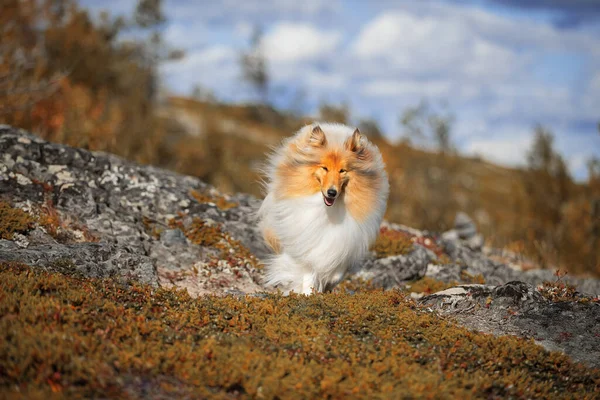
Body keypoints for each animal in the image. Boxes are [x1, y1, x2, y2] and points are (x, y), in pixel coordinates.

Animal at [258, 122, 390, 294]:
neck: (328, 211)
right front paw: (308, 293)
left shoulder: (346, 240)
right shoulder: (306, 243)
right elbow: (309, 271)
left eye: (342, 170)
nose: (332, 192)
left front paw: (329, 282)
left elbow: (337, 271)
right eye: (324, 168)